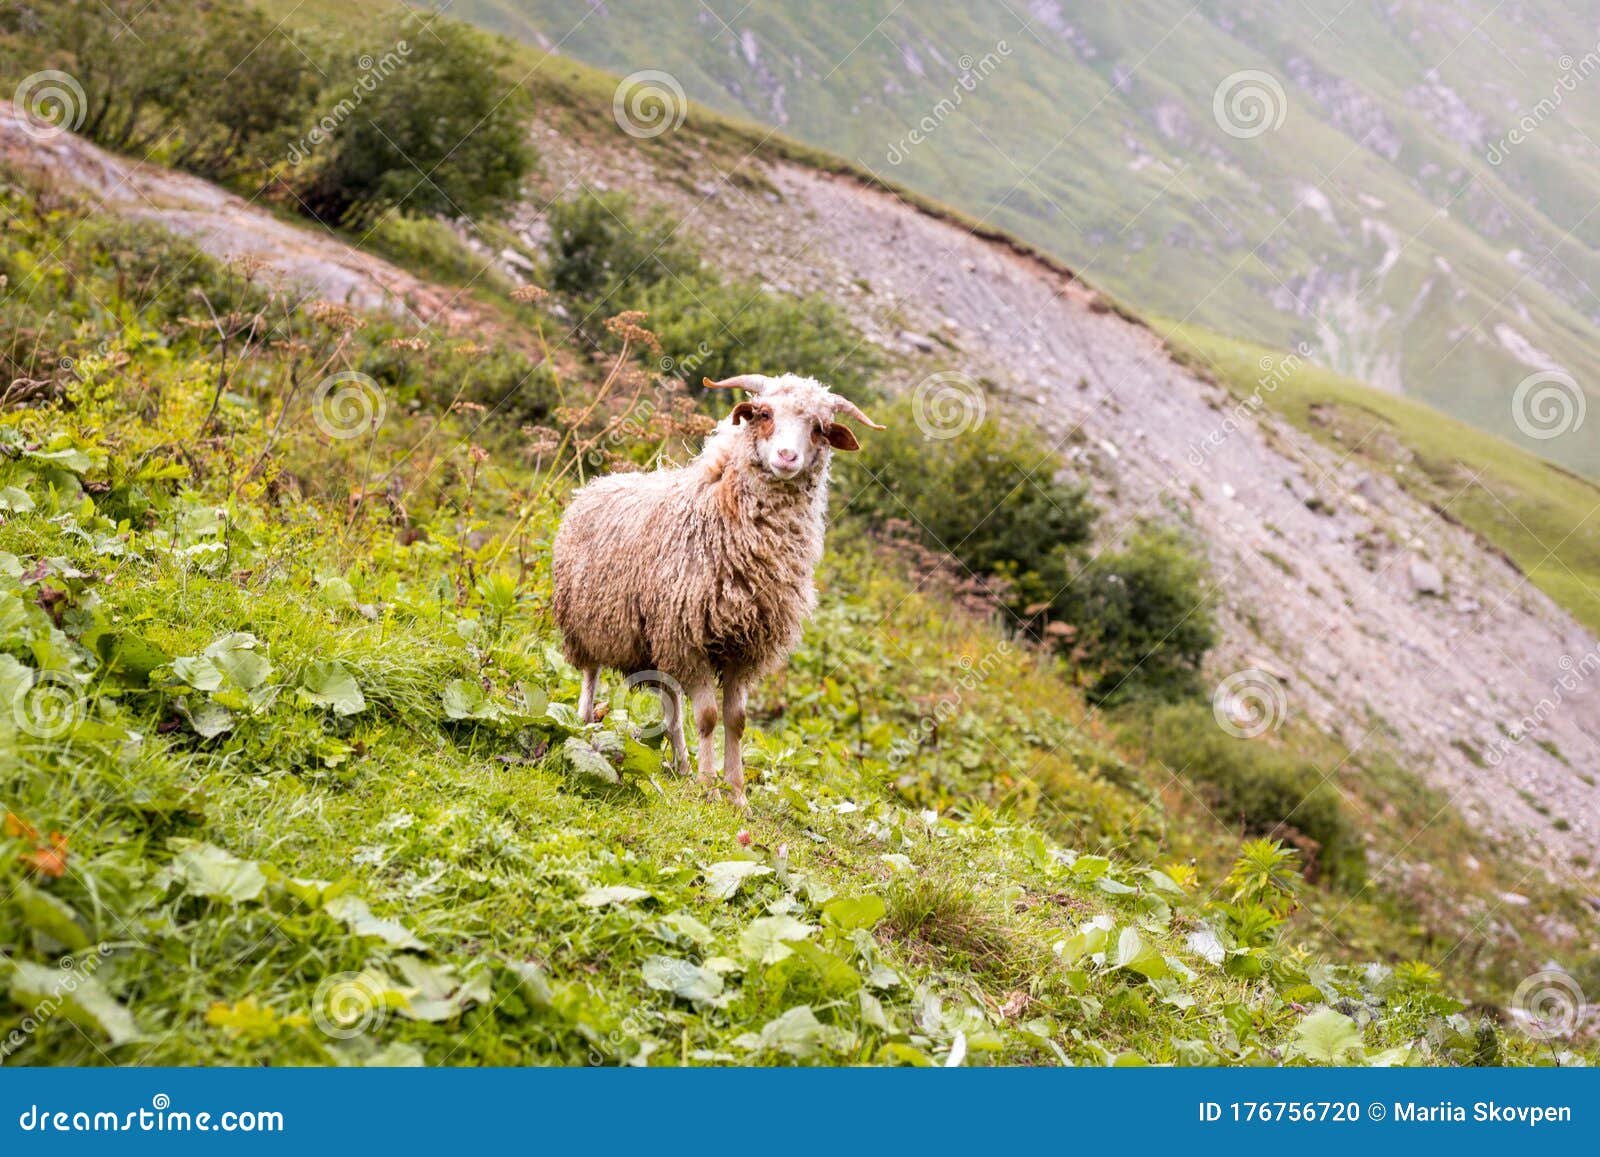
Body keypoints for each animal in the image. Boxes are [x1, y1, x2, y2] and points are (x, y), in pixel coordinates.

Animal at [551, 372, 883, 807]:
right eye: (763, 413)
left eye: (820, 429)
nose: (786, 457)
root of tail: (599, 481)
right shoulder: (688, 637)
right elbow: (707, 717)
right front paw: (709, 787)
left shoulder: (743, 647)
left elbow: (735, 721)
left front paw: (737, 794)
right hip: (588, 621)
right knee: (591, 675)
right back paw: (585, 724)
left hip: (655, 642)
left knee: (672, 706)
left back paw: (681, 765)